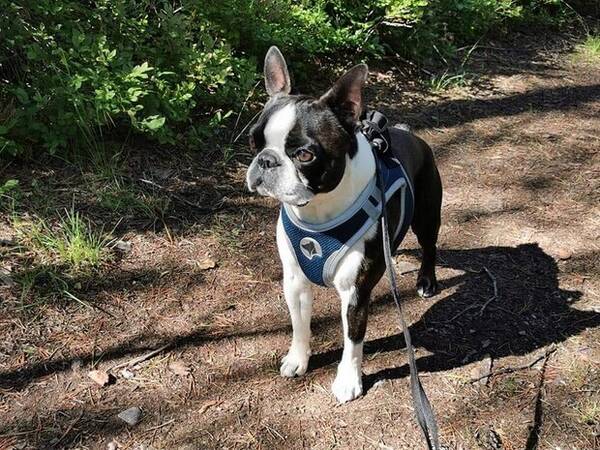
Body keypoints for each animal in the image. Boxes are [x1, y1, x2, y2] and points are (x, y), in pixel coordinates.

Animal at [246, 46, 442, 404]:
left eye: (305, 155)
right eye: (254, 142)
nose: (265, 160)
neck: (317, 212)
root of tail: (410, 134)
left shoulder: (355, 292)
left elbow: (352, 341)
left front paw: (348, 381)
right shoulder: (294, 281)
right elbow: (300, 325)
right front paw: (298, 359)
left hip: (426, 214)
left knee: (429, 244)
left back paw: (426, 280)